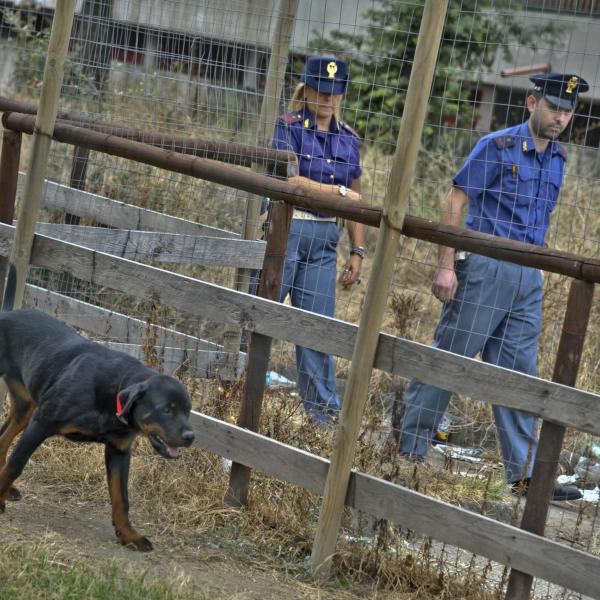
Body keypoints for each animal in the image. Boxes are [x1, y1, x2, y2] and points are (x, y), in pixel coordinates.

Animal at [0, 310, 195, 552]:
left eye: (188, 410)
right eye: (166, 409)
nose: (190, 437)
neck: (111, 392)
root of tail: (6, 313)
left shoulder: (119, 450)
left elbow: (122, 496)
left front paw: (129, 534)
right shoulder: (41, 423)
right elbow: (15, 465)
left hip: (25, 405)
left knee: (3, 436)